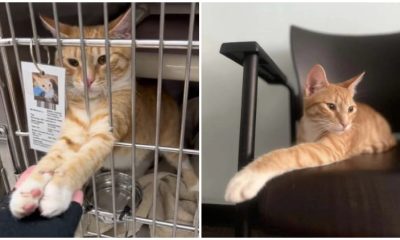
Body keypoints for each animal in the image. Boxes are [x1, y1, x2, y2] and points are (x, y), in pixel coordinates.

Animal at [8, 7, 198, 218]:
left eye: (103, 59)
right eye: (73, 62)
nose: (88, 80)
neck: (92, 103)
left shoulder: (106, 133)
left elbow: (81, 161)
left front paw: (56, 193)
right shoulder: (71, 134)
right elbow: (50, 160)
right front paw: (27, 191)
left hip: (169, 140)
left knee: (182, 160)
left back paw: (194, 184)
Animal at [225, 64, 396, 203]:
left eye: (350, 109)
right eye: (331, 106)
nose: (346, 124)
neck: (313, 127)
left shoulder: (327, 149)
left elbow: (286, 154)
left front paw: (248, 176)